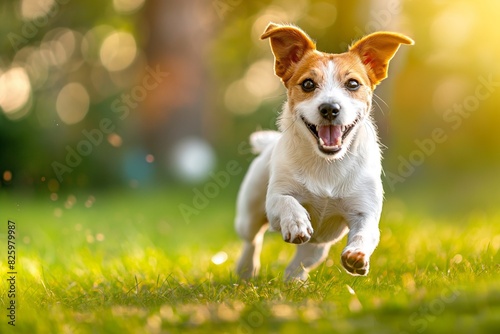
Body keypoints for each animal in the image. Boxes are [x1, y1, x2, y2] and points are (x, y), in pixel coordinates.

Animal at [235, 22, 414, 280]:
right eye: (308, 84)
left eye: (353, 84)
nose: (330, 108)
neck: (327, 163)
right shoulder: (276, 197)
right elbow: (286, 201)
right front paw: (296, 222)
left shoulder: (365, 210)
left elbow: (366, 232)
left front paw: (357, 255)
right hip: (249, 212)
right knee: (252, 240)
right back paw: (247, 269)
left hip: (317, 248)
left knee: (299, 263)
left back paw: (295, 281)